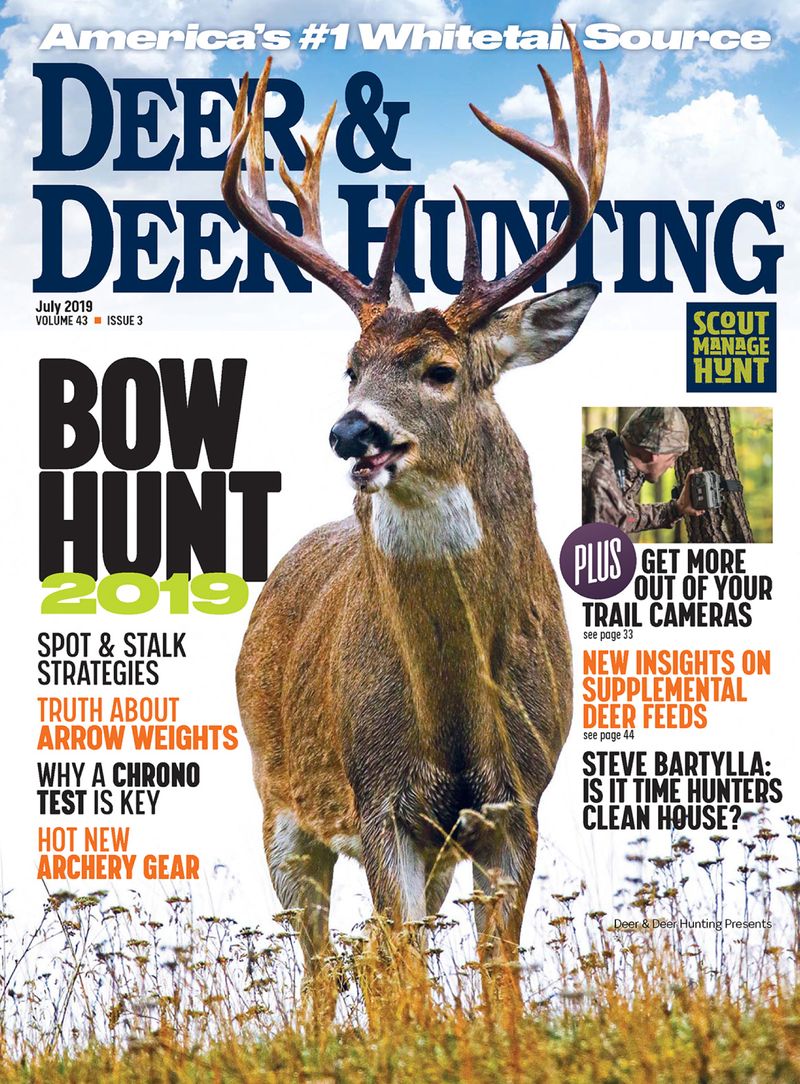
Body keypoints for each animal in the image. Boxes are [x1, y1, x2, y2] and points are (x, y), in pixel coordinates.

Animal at [225, 23, 609, 1009]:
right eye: (349, 367)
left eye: (439, 369)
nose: (351, 430)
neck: (453, 717)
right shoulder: (379, 799)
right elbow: (404, 967)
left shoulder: (520, 800)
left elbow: (496, 970)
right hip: (279, 801)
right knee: (326, 963)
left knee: (369, 956)